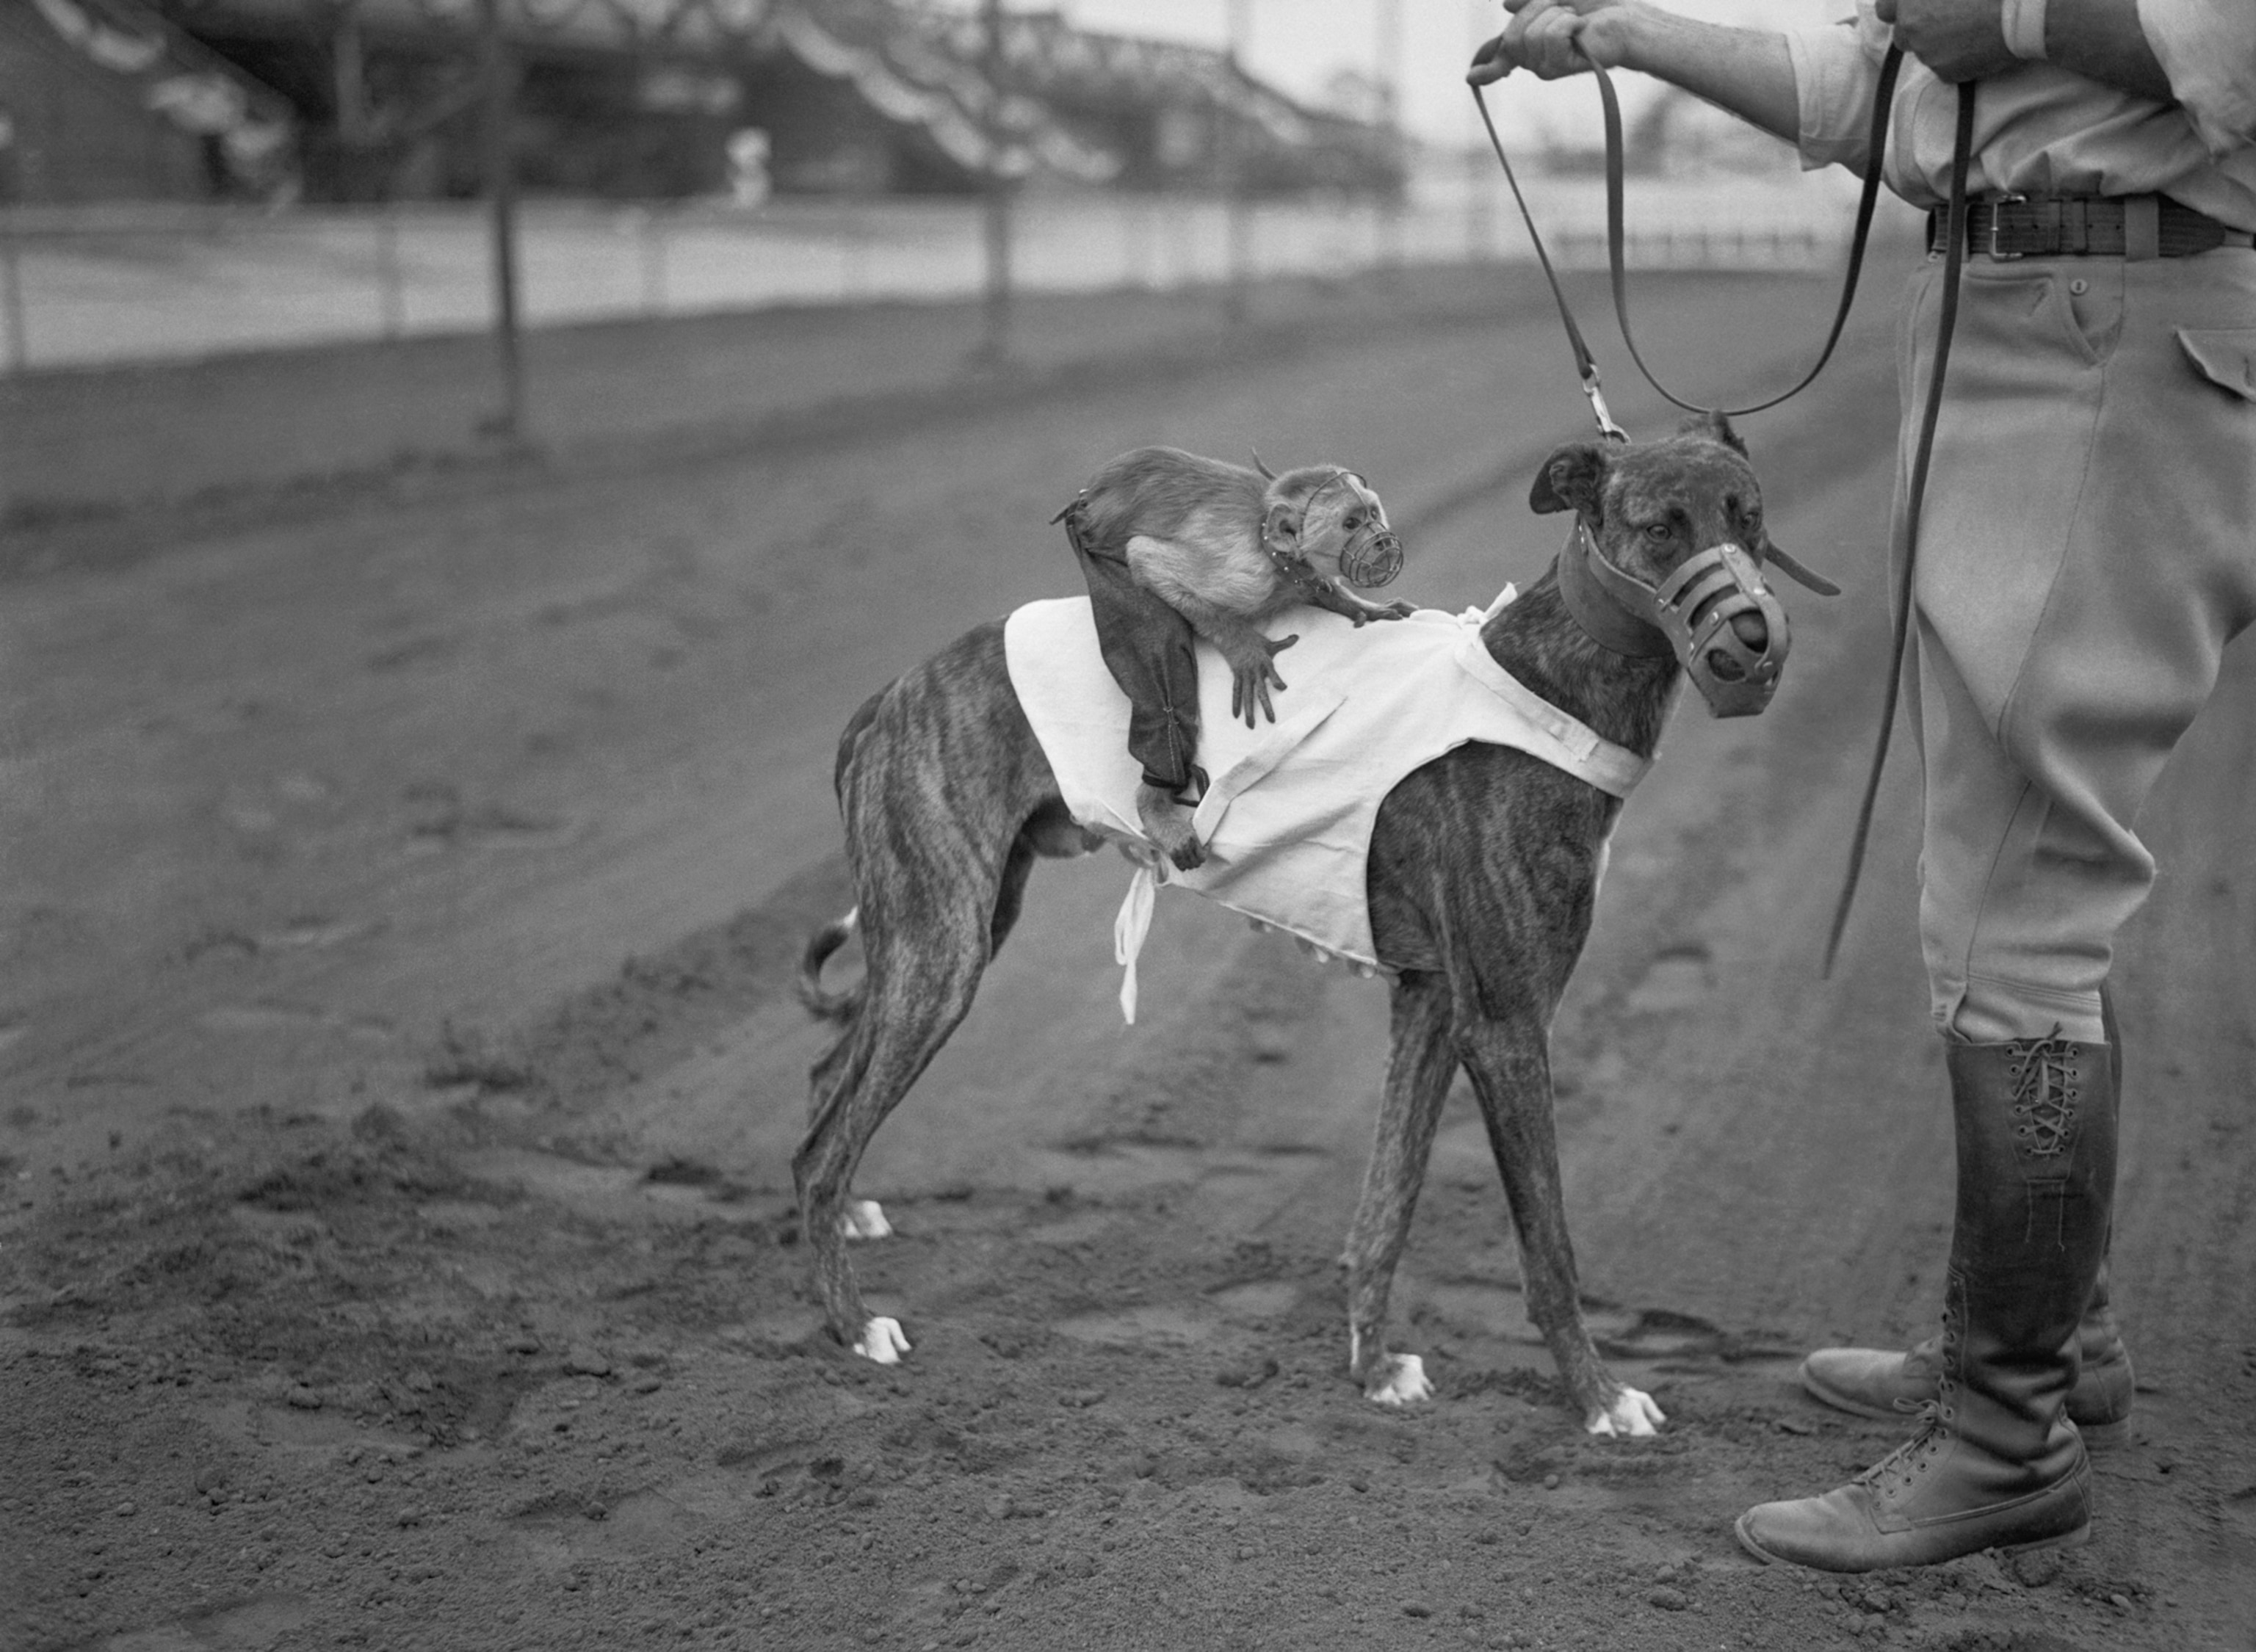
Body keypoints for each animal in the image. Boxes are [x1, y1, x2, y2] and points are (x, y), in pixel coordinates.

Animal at [1055, 438, 1407, 875]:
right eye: (1351, 524)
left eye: (1373, 514)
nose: (1382, 540)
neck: (1274, 555)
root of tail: (1087, 496)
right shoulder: (1246, 574)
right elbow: (1146, 559)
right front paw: (1245, 650)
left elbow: (1318, 586)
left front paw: (1361, 608)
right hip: (1094, 551)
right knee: (1157, 661)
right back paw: (1155, 799)